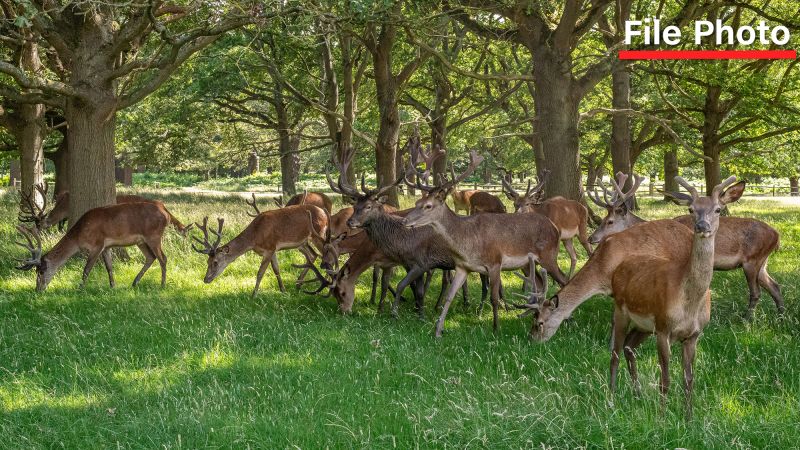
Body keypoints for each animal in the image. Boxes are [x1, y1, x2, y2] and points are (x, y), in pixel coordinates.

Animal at [15, 197, 172, 291]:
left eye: (41, 271)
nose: (37, 289)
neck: (79, 237)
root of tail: (166, 213)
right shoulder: (106, 246)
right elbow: (109, 267)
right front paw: (112, 286)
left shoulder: (97, 244)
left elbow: (86, 269)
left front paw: (80, 289)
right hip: (141, 241)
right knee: (151, 257)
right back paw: (134, 282)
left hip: (154, 235)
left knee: (163, 258)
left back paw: (162, 285)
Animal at [191, 203, 328, 297]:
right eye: (207, 262)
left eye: (215, 262)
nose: (206, 279)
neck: (255, 237)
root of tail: (325, 213)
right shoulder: (273, 249)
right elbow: (276, 269)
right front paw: (283, 290)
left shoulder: (269, 247)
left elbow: (260, 272)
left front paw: (254, 294)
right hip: (302, 242)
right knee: (313, 255)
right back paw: (299, 283)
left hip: (318, 233)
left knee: (326, 254)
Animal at [402, 150, 568, 337]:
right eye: (417, 203)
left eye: (428, 206)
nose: (404, 220)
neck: (468, 244)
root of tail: (555, 227)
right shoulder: (462, 266)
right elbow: (450, 296)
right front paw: (438, 330)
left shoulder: (495, 262)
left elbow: (494, 298)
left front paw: (496, 328)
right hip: (527, 264)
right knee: (540, 285)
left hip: (549, 255)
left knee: (564, 279)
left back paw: (568, 320)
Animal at [588, 172, 783, 319]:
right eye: (603, 219)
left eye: (610, 221)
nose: (591, 238)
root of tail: (776, 236)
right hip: (761, 263)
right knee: (774, 286)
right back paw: (781, 317)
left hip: (752, 260)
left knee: (756, 292)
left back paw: (747, 319)